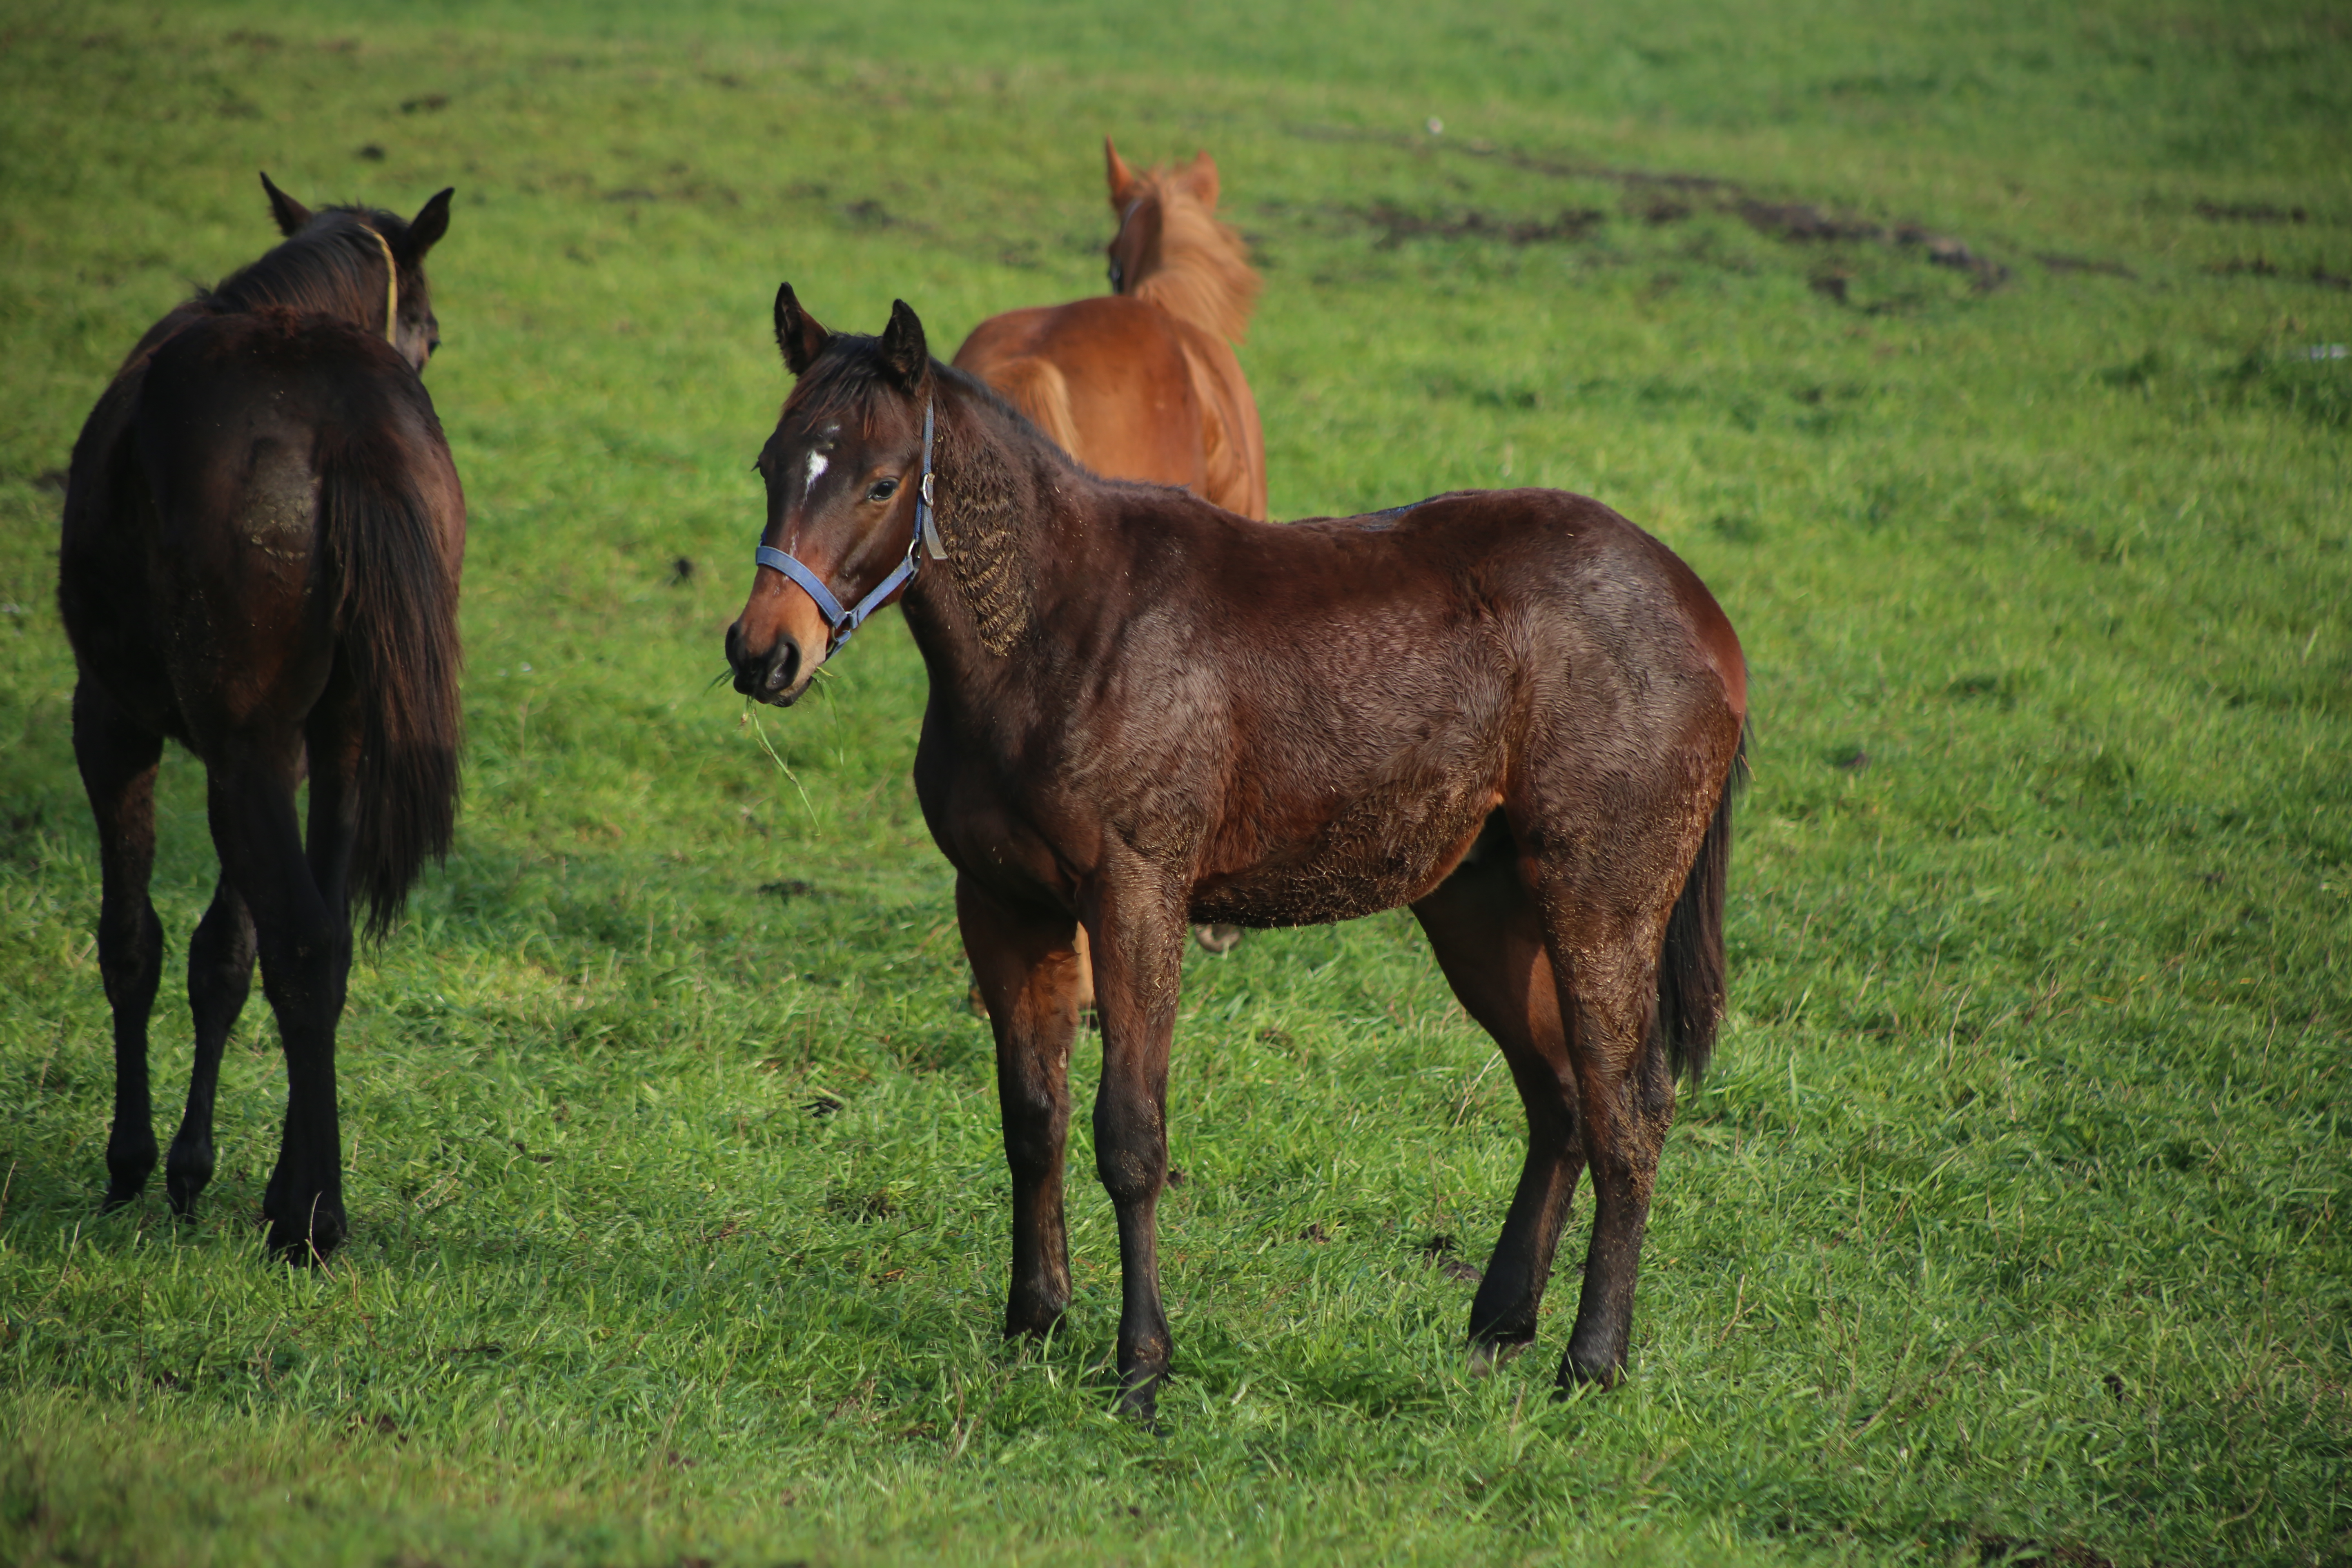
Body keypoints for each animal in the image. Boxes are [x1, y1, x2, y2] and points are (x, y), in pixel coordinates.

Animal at [58, 172, 463, 1260]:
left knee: (301, 940)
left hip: (234, 744)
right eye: (432, 330)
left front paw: (135, 1163)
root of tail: (344, 424)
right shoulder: (294, 751)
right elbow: (224, 954)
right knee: (319, 947)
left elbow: (134, 941)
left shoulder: (114, 721)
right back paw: (298, 1199)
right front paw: (191, 1170)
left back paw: (311, 1218)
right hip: (320, 744)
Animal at [729, 285, 1750, 1420]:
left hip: (1600, 902)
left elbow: (1130, 1136)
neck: (1060, 630)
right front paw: (1033, 1322)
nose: (764, 653)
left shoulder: (1137, 893)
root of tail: (1702, 615)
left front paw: (1140, 1367)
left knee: (1628, 1113)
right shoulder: (1002, 904)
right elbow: (1030, 1116)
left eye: (879, 480)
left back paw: (1592, 1361)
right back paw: (1497, 1328)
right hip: (1480, 907)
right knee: (1560, 1099)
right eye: (771, 464)